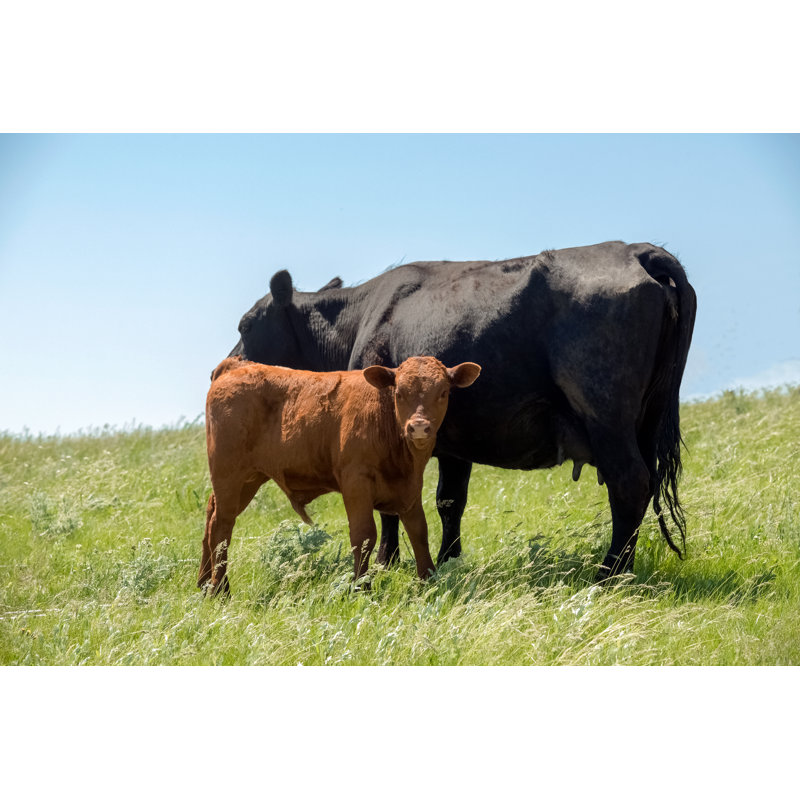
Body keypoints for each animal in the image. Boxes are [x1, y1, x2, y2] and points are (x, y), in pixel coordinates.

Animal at [198, 355, 481, 596]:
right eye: (399, 393)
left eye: (443, 392)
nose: (419, 427)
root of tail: (237, 366)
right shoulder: (356, 482)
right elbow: (364, 535)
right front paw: (361, 588)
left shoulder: (411, 487)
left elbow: (419, 532)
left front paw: (428, 581)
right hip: (228, 474)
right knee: (221, 527)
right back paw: (220, 591)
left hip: (248, 479)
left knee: (211, 516)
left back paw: (204, 584)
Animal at [228, 240, 697, 581]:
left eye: (245, 325)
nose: (229, 365)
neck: (360, 318)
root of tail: (636, 250)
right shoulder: (454, 443)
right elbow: (449, 501)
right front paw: (447, 562)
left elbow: (389, 505)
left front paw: (385, 564)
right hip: (645, 419)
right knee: (645, 485)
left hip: (604, 411)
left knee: (630, 483)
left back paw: (608, 574)